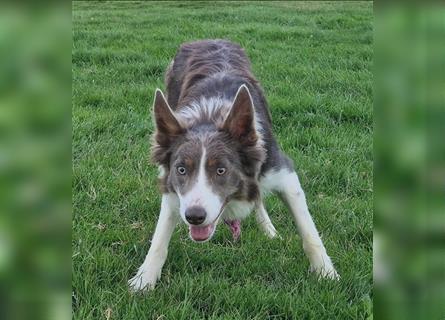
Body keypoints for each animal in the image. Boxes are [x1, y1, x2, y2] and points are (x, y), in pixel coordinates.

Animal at [128, 39, 336, 290]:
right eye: (181, 169)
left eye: (221, 170)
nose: (194, 216)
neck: (210, 117)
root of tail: (210, 38)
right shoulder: (172, 186)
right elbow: (159, 238)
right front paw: (144, 280)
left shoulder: (282, 173)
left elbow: (308, 231)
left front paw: (326, 273)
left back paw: (268, 229)